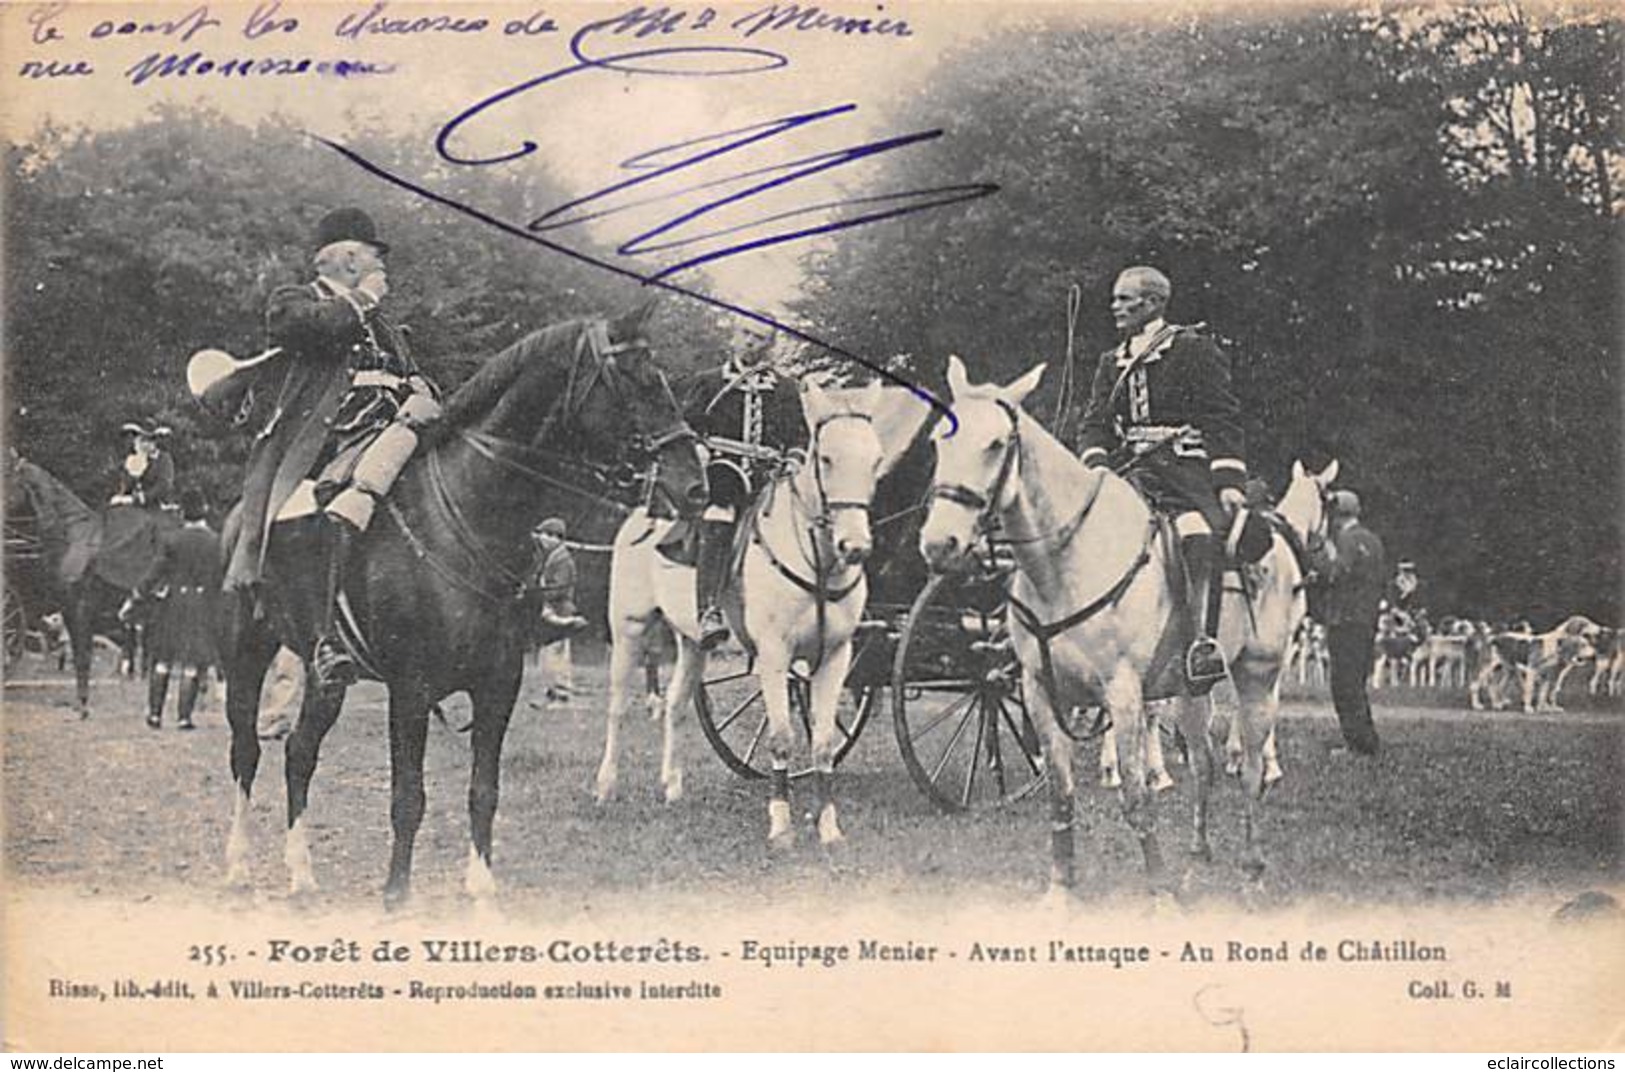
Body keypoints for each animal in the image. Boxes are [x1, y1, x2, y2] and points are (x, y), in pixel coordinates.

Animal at [3, 451, 160, 711]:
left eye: (6, 479)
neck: (72, 536)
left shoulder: (79, 607)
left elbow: (82, 654)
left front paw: (84, 704)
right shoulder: (68, 608)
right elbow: (78, 653)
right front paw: (81, 702)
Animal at [222, 302, 705, 903]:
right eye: (636, 378)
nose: (696, 485)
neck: (468, 514)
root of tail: (238, 516)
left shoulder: (498, 685)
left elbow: (484, 790)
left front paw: (481, 885)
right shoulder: (410, 691)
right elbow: (408, 798)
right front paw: (396, 894)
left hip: (325, 676)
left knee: (299, 754)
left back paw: (302, 871)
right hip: (246, 653)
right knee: (246, 751)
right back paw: (239, 863)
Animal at [598, 378, 929, 844]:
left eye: (876, 458)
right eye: (826, 458)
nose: (855, 546)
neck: (817, 562)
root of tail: (643, 516)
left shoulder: (836, 656)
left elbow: (822, 743)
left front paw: (828, 827)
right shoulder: (774, 656)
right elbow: (781, 737)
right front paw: (780, 824)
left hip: (693, 642)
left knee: (677, 706)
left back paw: (672, 787)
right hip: (629, 628)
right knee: (618, 707)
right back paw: (605, 786)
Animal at [923, 355, 1326, 890]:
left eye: (995, 444)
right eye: (938, 441)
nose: (939, 543)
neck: (1066, 561)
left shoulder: (1123, 692)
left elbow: (1136, 799)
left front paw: (1158, 889)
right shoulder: (1039, 691)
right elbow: (1061, 795)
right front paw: (1060, 889)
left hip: (1259, 674)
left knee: (1252, 769)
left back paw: (1253, 864)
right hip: (1190, 689)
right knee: (1203, 763)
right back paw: (1199, 851)